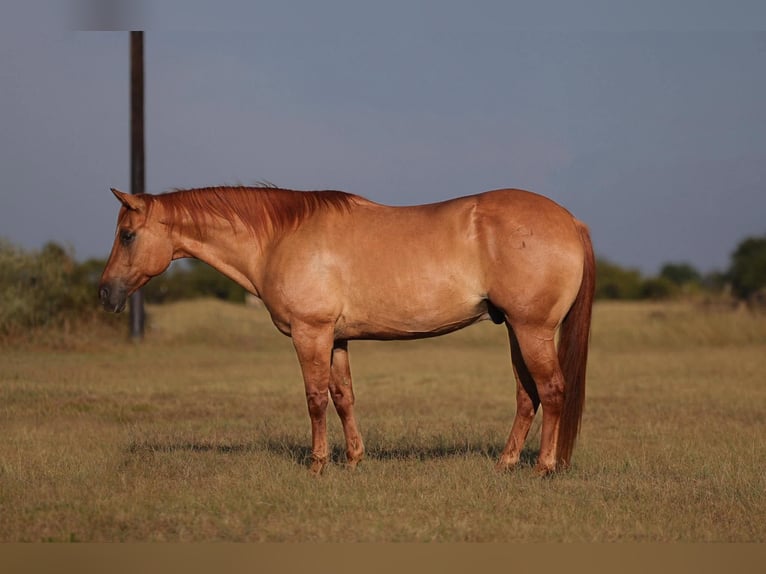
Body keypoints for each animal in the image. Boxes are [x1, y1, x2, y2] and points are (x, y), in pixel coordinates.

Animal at [99, 185, 595, 475]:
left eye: (127, 235)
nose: (105, 293)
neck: (281, 236)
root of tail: (570, 220)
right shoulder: (336, 338)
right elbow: (343, 397)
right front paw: (354, 458)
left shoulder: (310, 333)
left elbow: (315, 399)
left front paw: (317, 464)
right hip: (515, 329)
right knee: (527, 395)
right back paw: (506, 462)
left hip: (532, 330)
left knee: (551, 390)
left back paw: (544, 468)